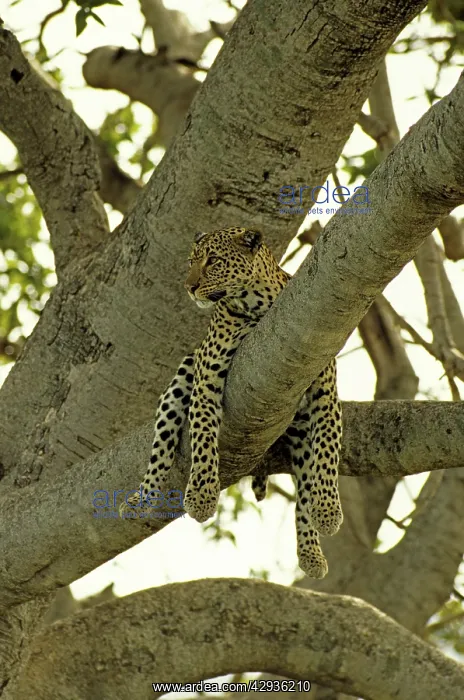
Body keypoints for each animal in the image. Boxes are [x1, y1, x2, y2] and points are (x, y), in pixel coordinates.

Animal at [124, 227, 343, 578]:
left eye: (213, 261)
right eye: (191, 261)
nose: (189, 287)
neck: (254, 305)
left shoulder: (326, 391)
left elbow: (327, 453)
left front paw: (327, 510)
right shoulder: (207, 373)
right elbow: (202, 434)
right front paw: (200, 497)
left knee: (304, 489)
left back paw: (311, 553)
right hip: (184, 374)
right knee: (161, 445)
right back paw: (141, 498)